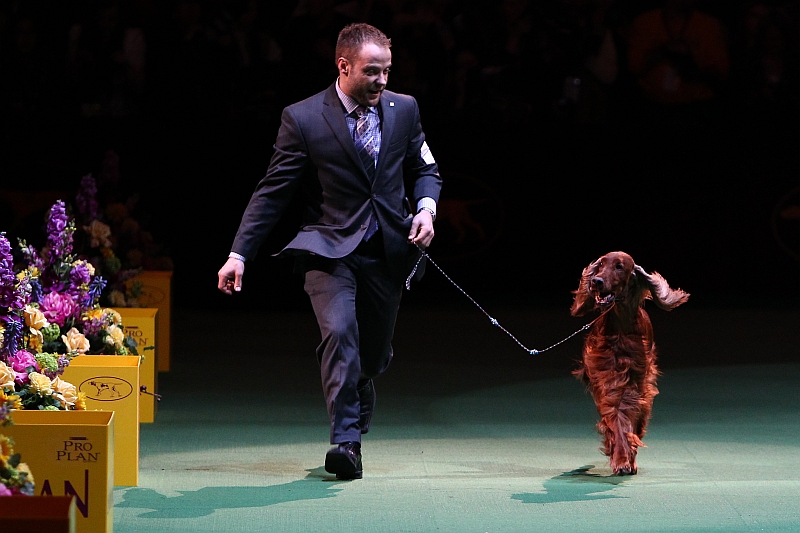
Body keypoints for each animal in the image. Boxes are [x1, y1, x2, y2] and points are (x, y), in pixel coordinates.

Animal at [568, 251, 688, 476]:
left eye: (619, 266)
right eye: (600, 265)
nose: (596, 281)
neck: (621, 327)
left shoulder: (636, 382)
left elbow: (630, 417)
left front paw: (628, 456)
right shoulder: (608, 378)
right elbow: (616, 418)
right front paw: (622, 458)